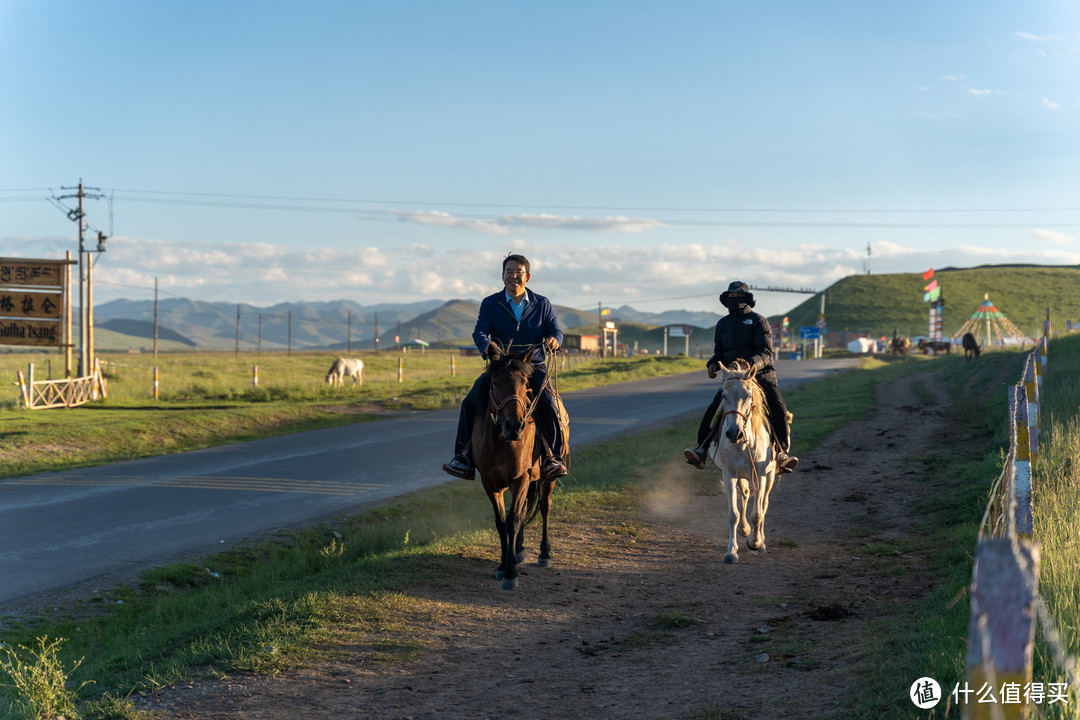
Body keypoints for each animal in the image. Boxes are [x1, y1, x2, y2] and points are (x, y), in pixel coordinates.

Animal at [473, 343, 561, 591]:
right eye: (494, 383)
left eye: (525, 384)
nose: (515, 426)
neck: (502, 441)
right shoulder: (489, 483)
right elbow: (502, 522)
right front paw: (504, 564)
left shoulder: (520, 478)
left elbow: (512, 521)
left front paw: (511, 573)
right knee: (522, 512)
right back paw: (519, 550)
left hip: (547, 479)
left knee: (544, 508)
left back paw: (544, 554)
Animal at [708, 362, 777, 565]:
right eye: (724, 396)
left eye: (748, 395)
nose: (733, 433)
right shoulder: (730, 475)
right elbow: (734, 515)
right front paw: (731, 551)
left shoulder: (760, 475)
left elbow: (757, 513)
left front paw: (755, 542)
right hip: (743, 477)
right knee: (745, 496)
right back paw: (744, 530)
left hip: (769, 475)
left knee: (764, 504)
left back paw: (761, 541)